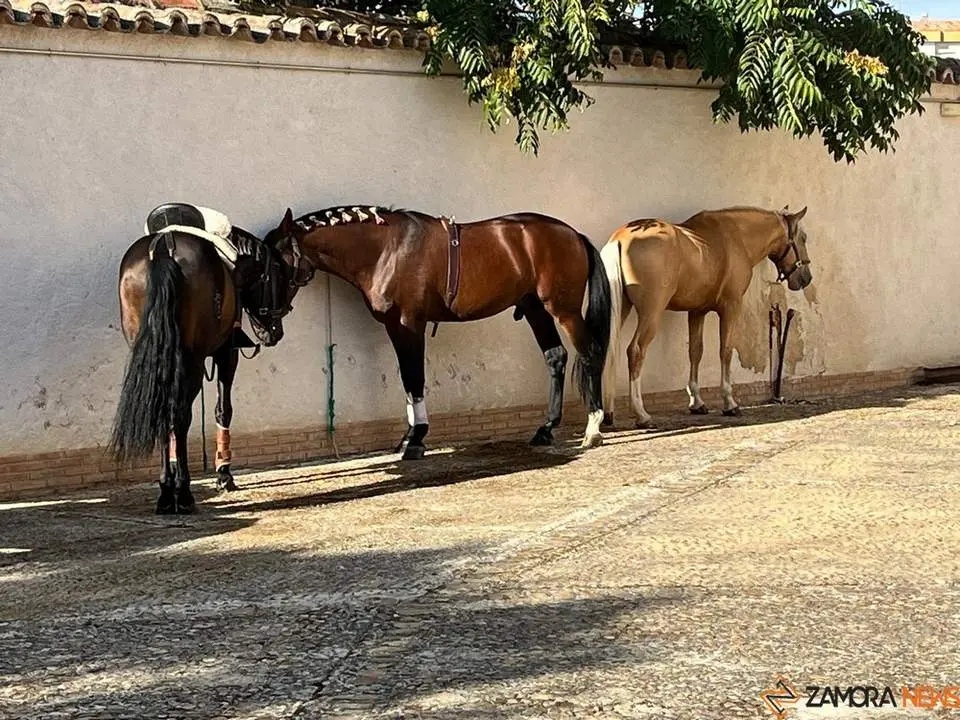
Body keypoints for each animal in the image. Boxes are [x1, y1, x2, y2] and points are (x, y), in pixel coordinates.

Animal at [110, 204, 293, 514]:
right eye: (277, 276)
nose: (274, 332)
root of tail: (164, 247)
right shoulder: (227, 353)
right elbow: (223, 409)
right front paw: (223, 474)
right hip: (192, 361)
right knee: (179, 414)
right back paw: (182, 493)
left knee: (164, 412)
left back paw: (166, 492)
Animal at [262, 205, 613, 459]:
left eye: (276, 265)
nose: (267, 324)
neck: (386, 251)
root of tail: (573, 234)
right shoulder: (395, 327)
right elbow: (407, 380)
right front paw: (408, 437)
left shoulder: (409, 323)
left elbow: (415, 378)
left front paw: (416, 439)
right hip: (536, 309)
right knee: (556, 357)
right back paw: (545, 429)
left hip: (564, 311)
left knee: (589, 353)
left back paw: (593, 427)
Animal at [600, 206, 813, 428]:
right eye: (803, 238)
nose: (806, 278)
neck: (736, 238)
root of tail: (621, 239)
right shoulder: (731, 307)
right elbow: (725, 350)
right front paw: (729, 403)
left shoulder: (696, 311)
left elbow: (695, 352)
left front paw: (696, 402)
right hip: (651, 313)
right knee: (635, 351)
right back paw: (641, 414)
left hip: (621, 310)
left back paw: (608, 414)